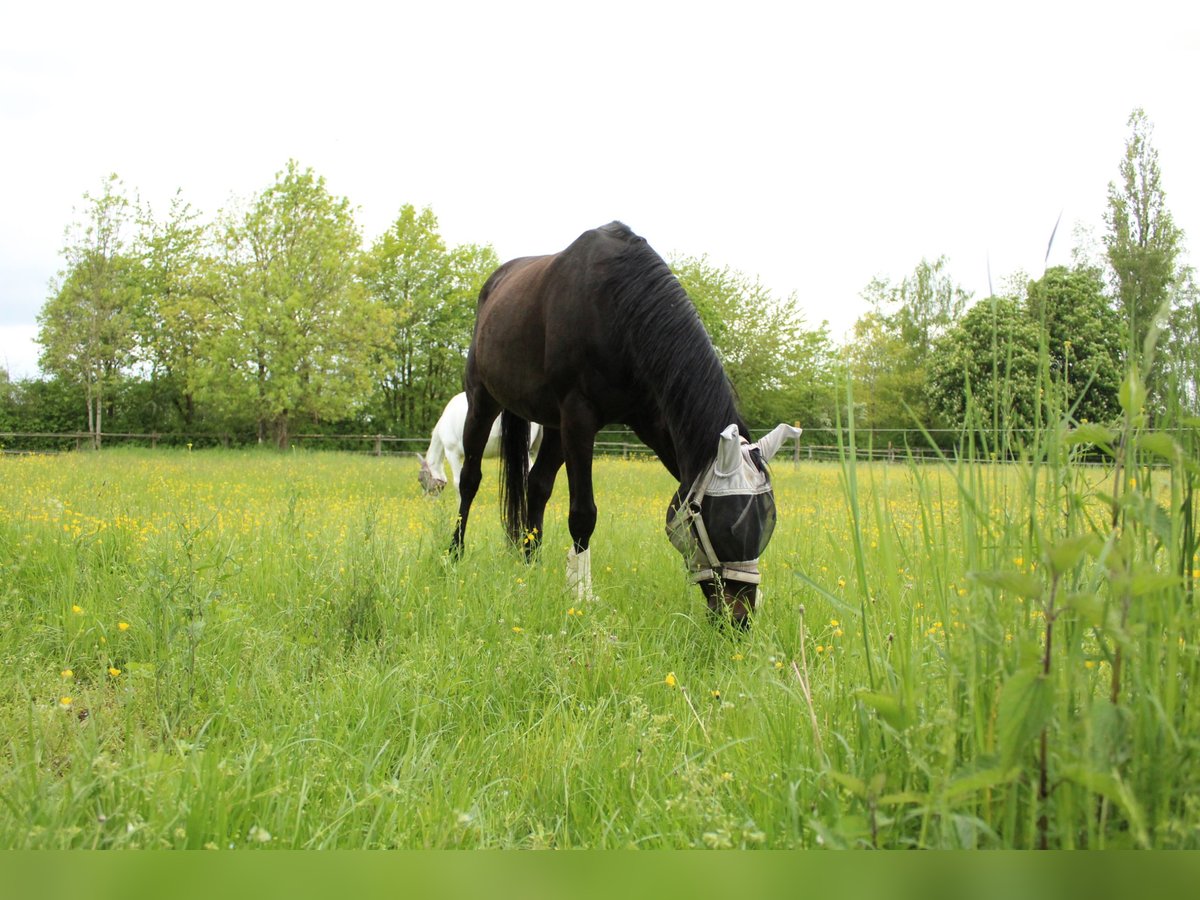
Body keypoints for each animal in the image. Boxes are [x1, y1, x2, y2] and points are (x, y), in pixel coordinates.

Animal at [448, 224, 796, 628]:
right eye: (727, 526)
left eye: (767, 523)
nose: (738, 620)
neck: (620, 306)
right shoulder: (579, 417)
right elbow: (583, 513)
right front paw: (581, 595)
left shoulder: (654, 420)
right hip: (483, 402)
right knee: (469, 480)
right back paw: (454, 553)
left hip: (554, 427)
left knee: (536, 485)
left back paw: (529, 565)